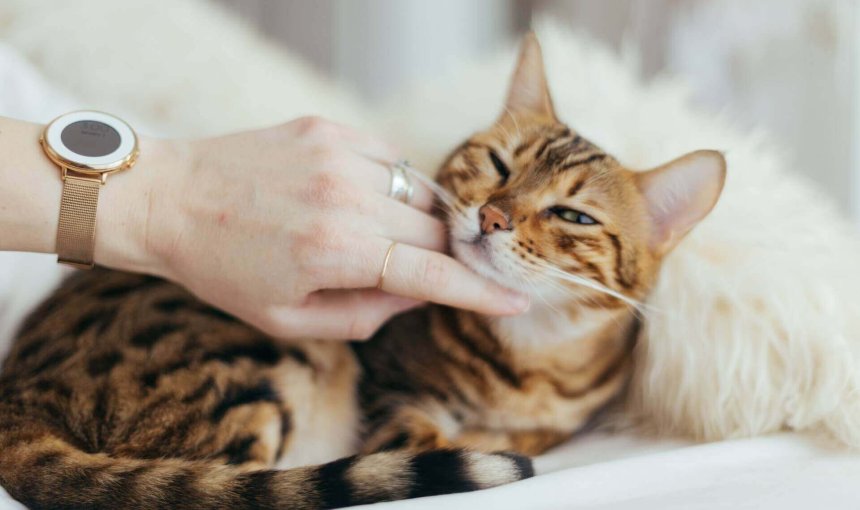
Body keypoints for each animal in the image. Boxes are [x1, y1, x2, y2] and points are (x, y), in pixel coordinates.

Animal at [0, 34, 724, 510]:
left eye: (572, 215)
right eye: (497, 164)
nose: (492, 216)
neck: (530, 359)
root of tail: (17, 393)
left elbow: (532, 433)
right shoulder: (387, 385)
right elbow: (420, 436)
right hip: (256, 350)